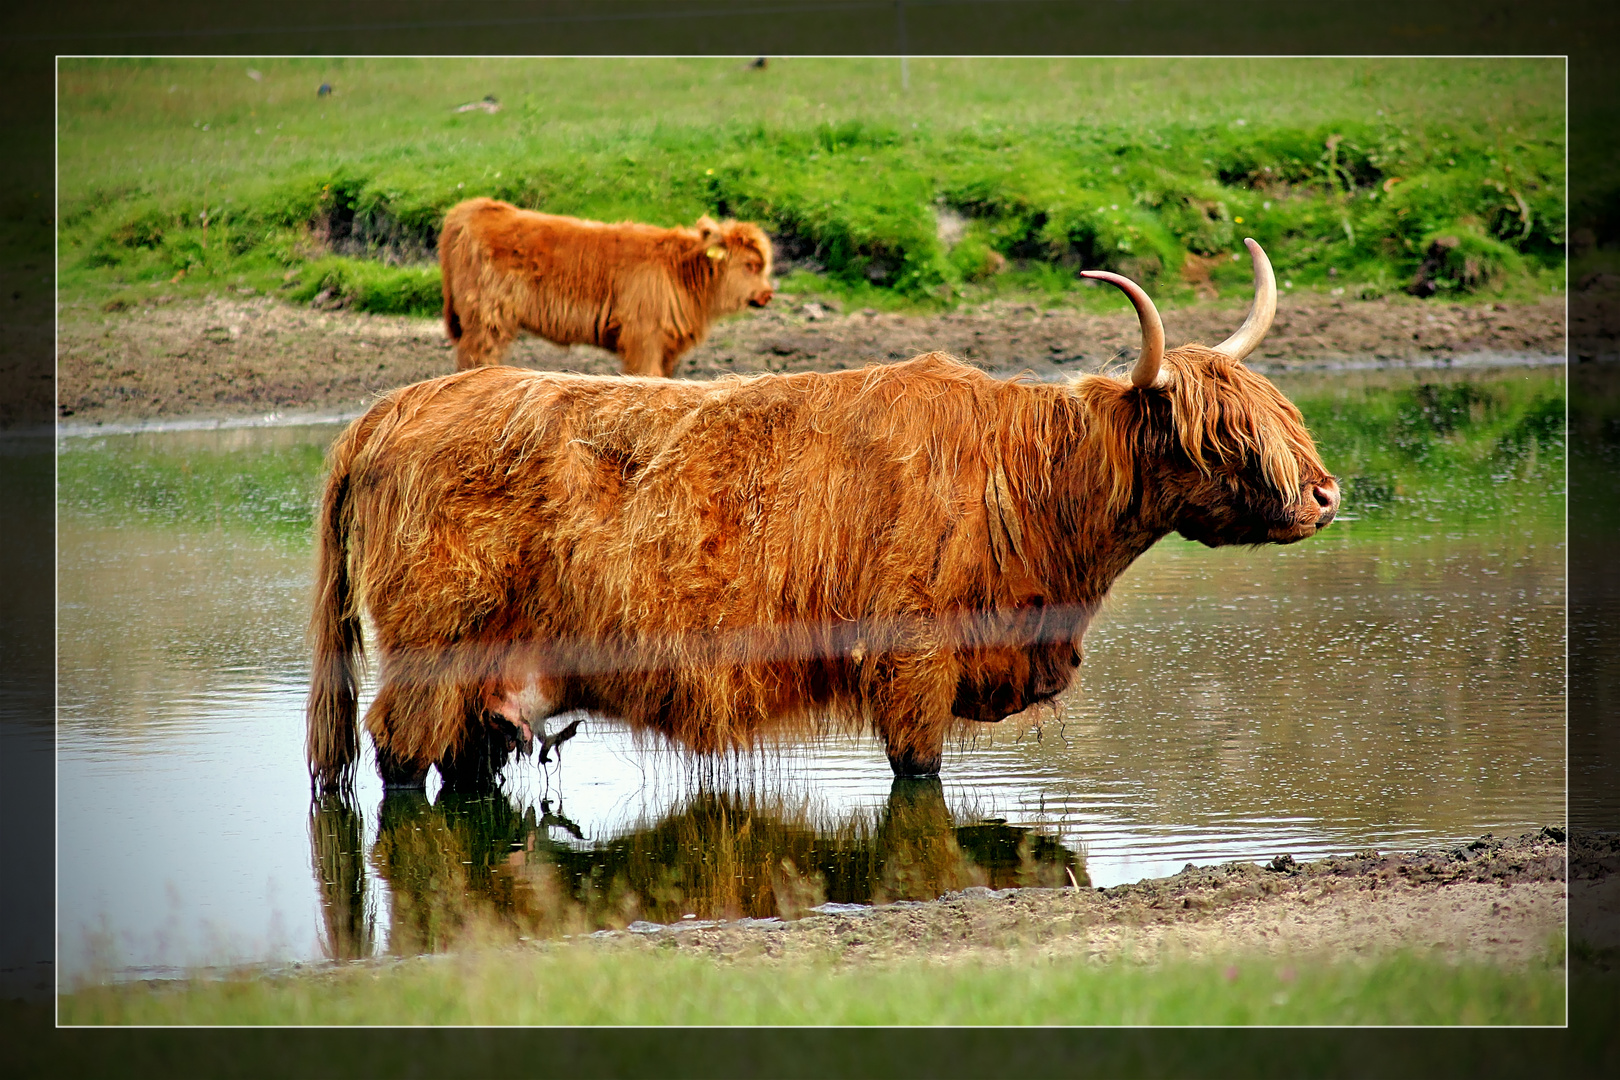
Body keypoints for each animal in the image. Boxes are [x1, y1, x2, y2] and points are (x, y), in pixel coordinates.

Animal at [306, 241, 1341, 790]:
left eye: (1278, 414)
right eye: (1220, 436)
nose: (1326, 496)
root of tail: (384, 411)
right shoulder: (915, 661)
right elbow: (917, 779)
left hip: (488, 688)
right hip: (428, 653)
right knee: (398, 763)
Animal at [440, 196, 774, 378]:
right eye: (750, 265)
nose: (768, 294)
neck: (679, 271)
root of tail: (476, 207)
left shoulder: (667, 348)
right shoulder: (643, 337)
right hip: (487, 320)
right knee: (475, 358)